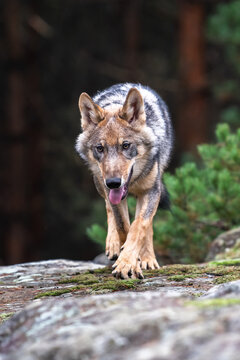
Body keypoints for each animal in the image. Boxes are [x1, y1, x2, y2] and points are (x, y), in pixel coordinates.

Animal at [76, 83, 172, 278]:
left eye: (125, 145)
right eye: (100, 148)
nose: (113, 182)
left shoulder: (151, 190)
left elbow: (140, 226)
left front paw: (130, 262)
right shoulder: (110, 192)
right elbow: (123, 227)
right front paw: (129, 259)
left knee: (147, 224)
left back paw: (148, 259)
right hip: (99, 183)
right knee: (109, 208)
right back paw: (113, 246)